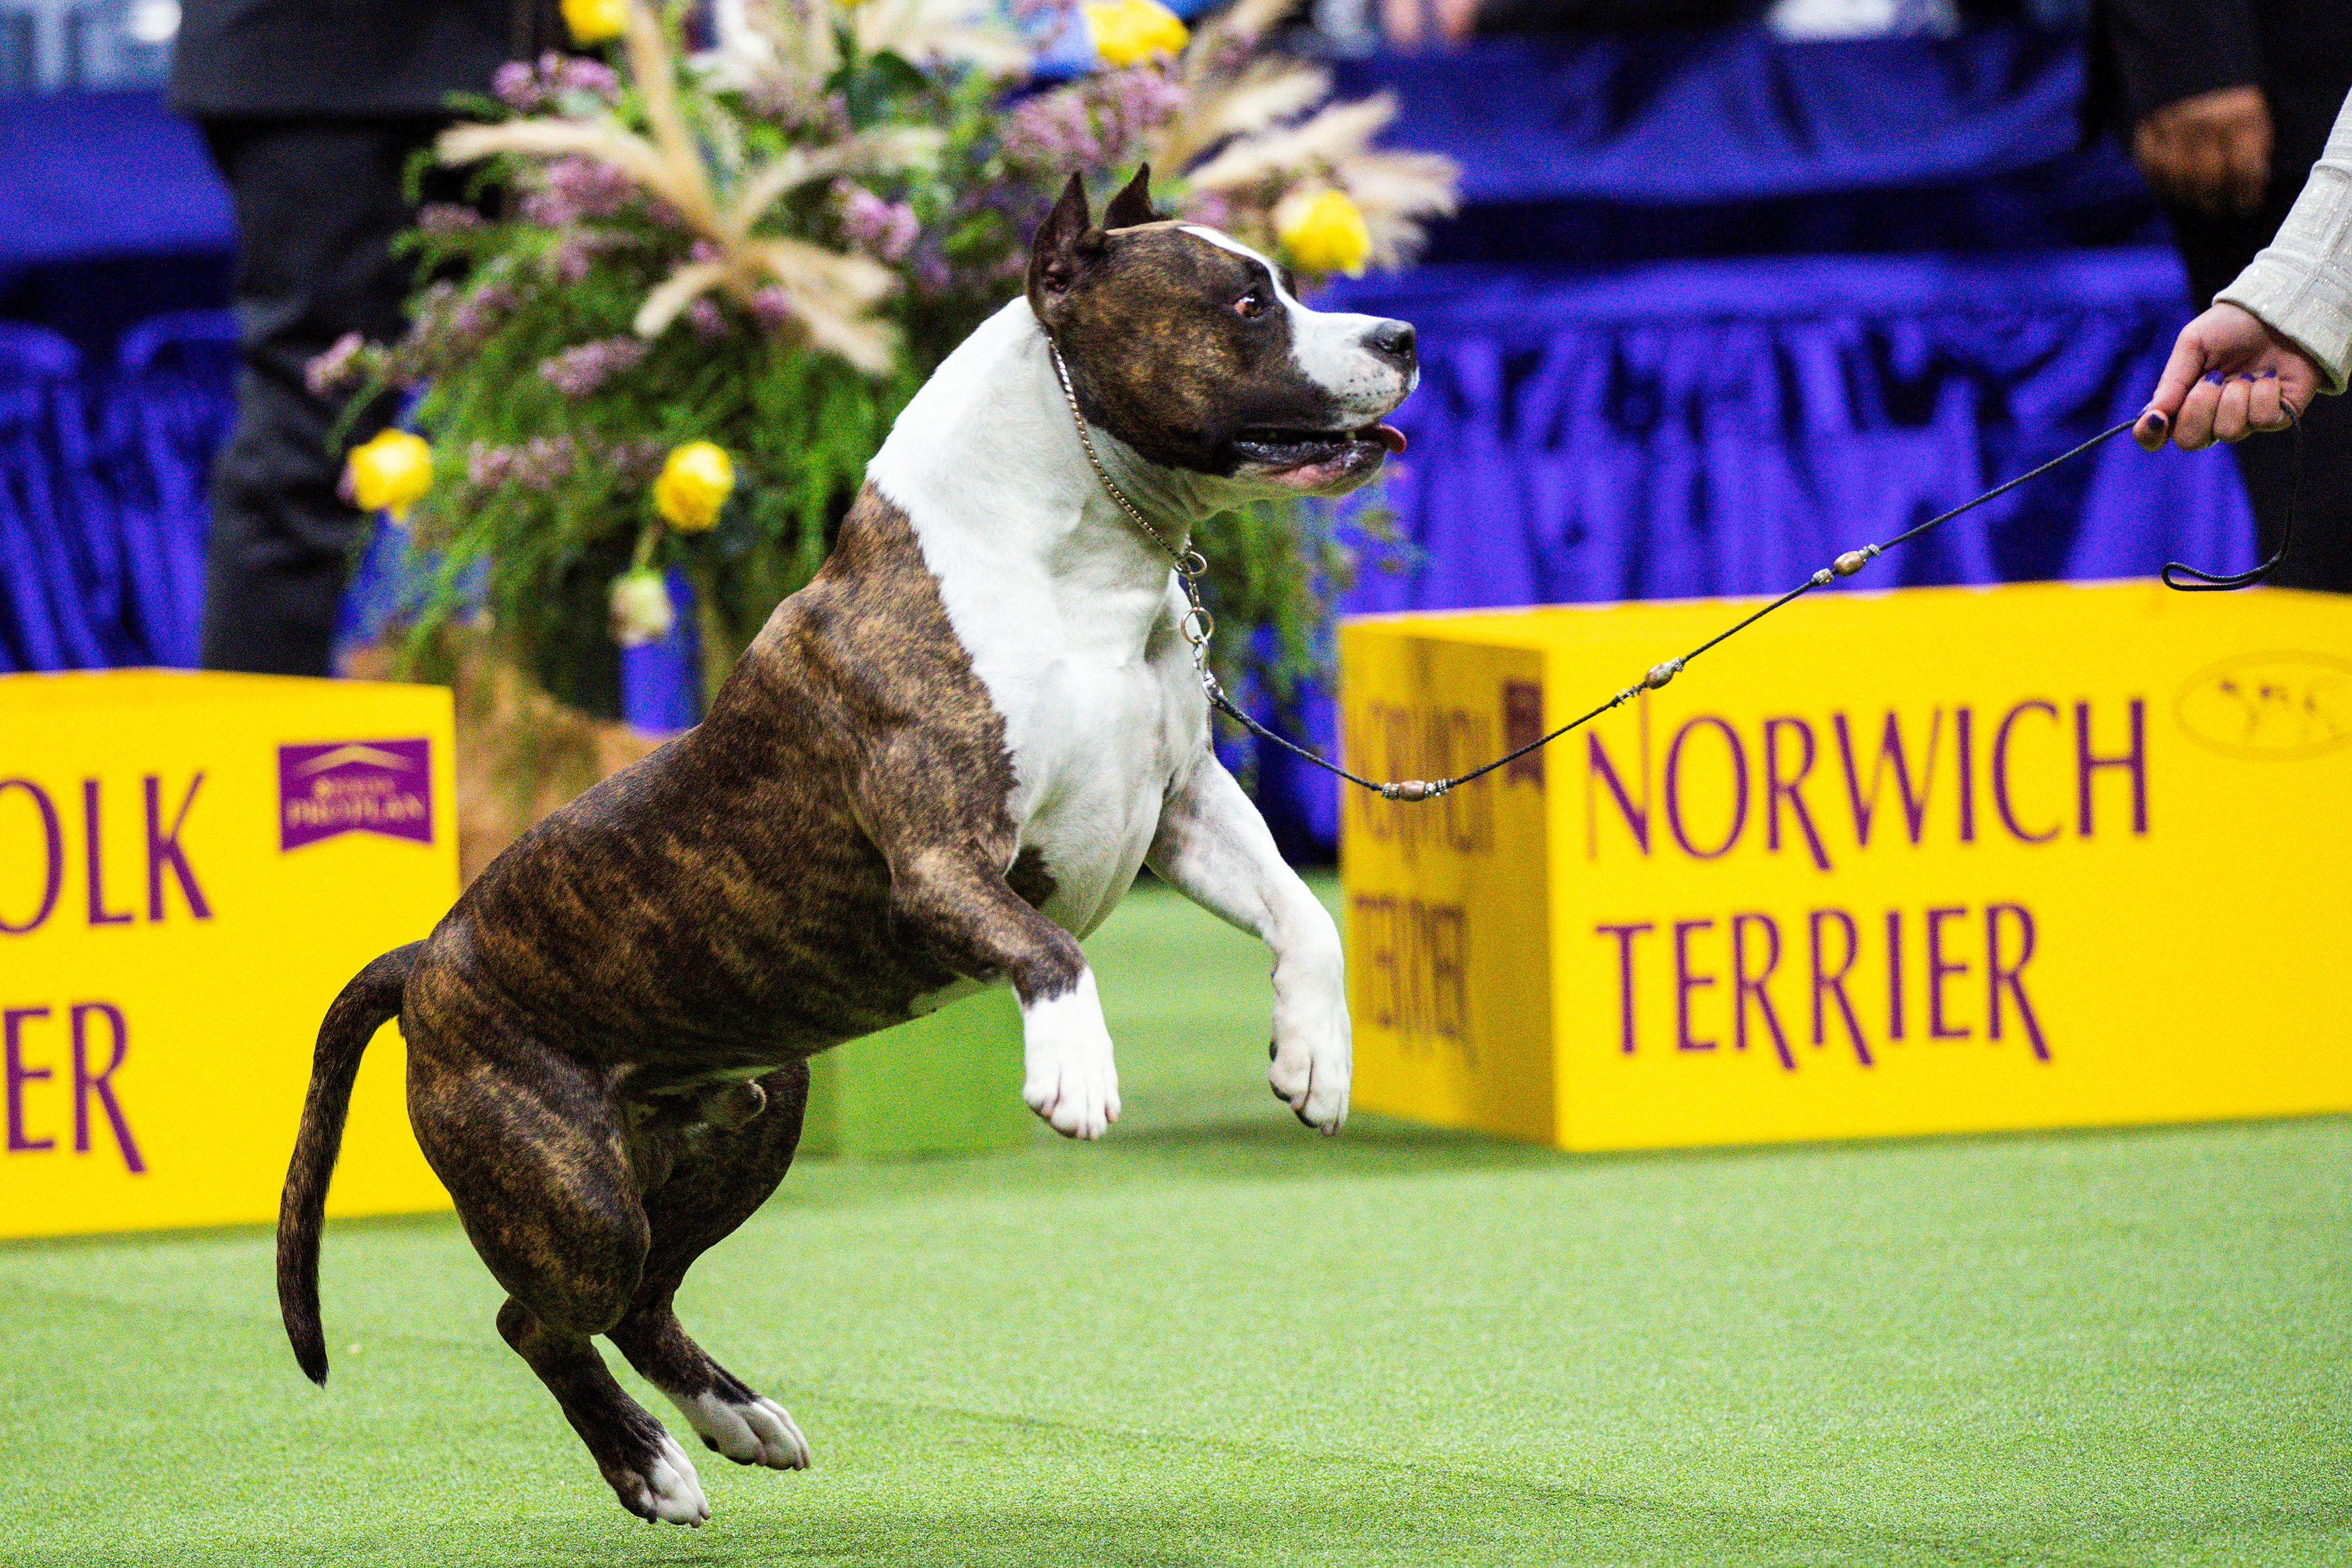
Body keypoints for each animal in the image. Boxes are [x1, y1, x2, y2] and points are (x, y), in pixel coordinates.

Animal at [275, 169, 1411, 1523]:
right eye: (1245, 303)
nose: (1402, 338)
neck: (1079, 564)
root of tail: (430, 957)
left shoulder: (1181, 809)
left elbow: (1306, 911)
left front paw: (1316, 1059)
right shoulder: (943, 856)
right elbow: (1053, 951)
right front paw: (1075, 1070)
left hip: (748, 1116)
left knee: (644, 1296)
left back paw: (735, 1415)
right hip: (570, 1188)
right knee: (542, 1317)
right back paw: (647, 1462)